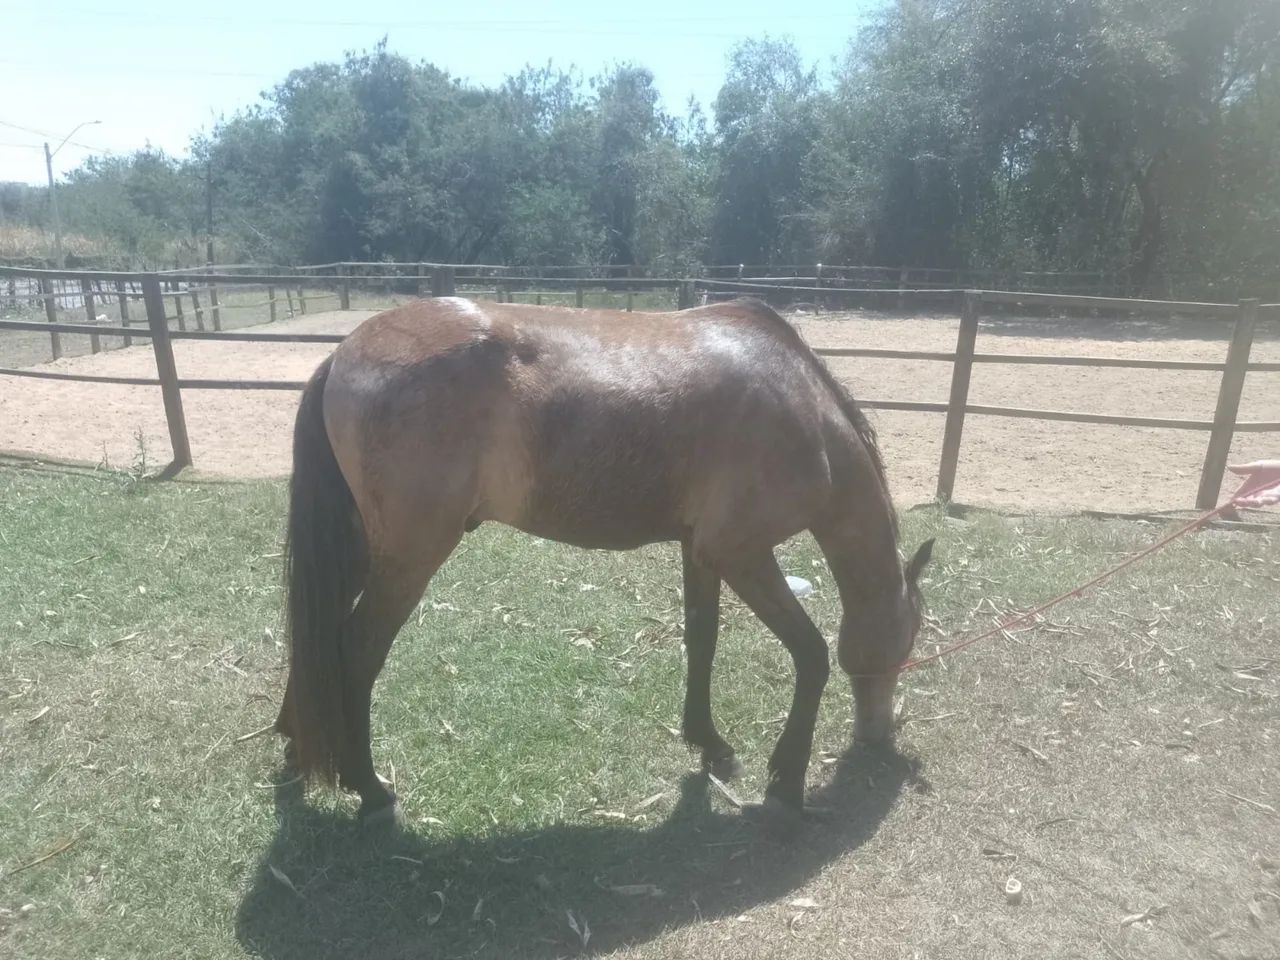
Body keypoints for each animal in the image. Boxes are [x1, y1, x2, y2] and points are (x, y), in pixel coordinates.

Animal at [276, 295, 933, 835]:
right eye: (908, 640)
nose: (878, 732)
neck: (804, 411)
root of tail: (341, 356)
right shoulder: (741, 554)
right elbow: (812, 654)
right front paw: (788, 782)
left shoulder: (701, 551)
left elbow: (703, 638)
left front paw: (709, 743)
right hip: (408, 558)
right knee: (355, 649)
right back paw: (369, 789)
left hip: (363, 547)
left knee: (316, 639)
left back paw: (294, 746)